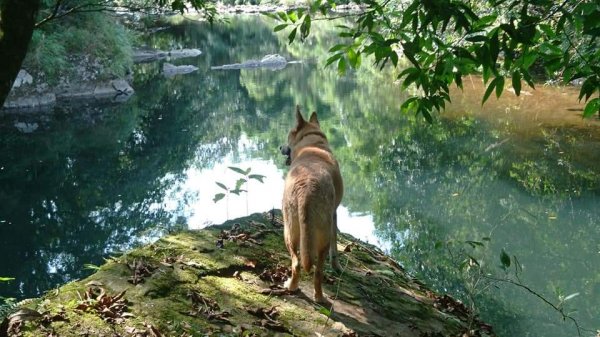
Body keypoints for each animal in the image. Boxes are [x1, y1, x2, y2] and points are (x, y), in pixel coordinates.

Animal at [280, 105, 342, 302]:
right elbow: (335, 247)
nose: (280, 147)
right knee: (317, 271)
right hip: (319, 236)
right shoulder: (334, 215)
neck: (312, 144)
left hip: (289, 232)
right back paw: (319, 297)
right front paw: (337, 265)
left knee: (297, 263)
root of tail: (306, 192)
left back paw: (291, 287)